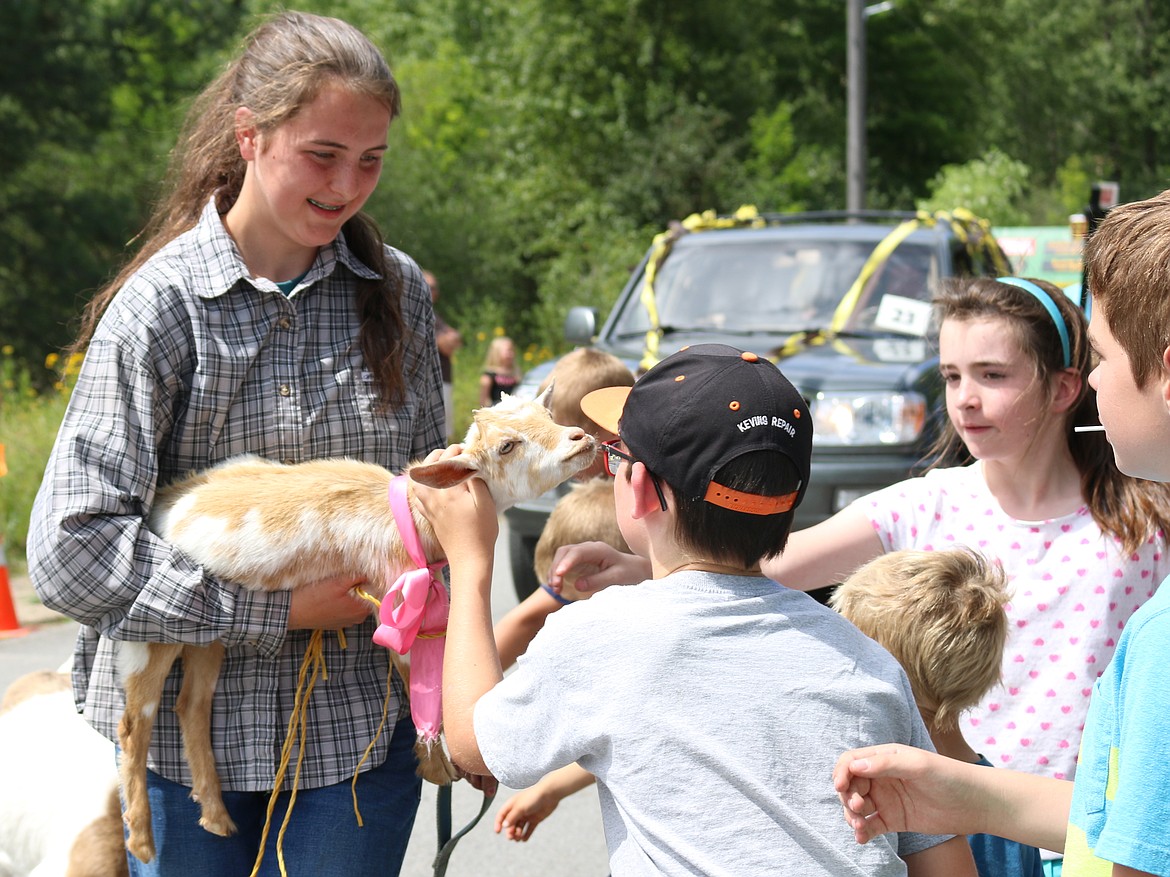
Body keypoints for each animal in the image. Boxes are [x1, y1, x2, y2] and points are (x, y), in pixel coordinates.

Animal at [121, 388, 594, 860]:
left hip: (210, 634)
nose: (581, 438)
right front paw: (438, 768)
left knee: (191, 704)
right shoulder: (391, 597)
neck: (411, 516)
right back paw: (142, 839)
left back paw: (215, 816)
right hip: (152, 629)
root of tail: (164, 504)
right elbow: (417, 678)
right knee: (135, 722)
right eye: (507, 446)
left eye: (546, 413)